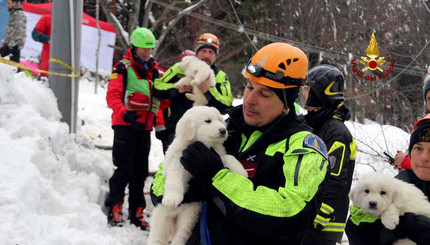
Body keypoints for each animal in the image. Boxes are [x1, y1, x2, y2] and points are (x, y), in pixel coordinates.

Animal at [149, 106, 247, 245]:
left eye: (219, 120)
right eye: (208, 121)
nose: (223, 130)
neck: (202, 144)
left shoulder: (217, 156)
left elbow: (229, 157)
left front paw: (241, 171)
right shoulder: (177, 163)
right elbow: (174, 181)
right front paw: (171, 199)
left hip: (188, 219)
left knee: (180, 236)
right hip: (161, 221)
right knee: (157, 238)